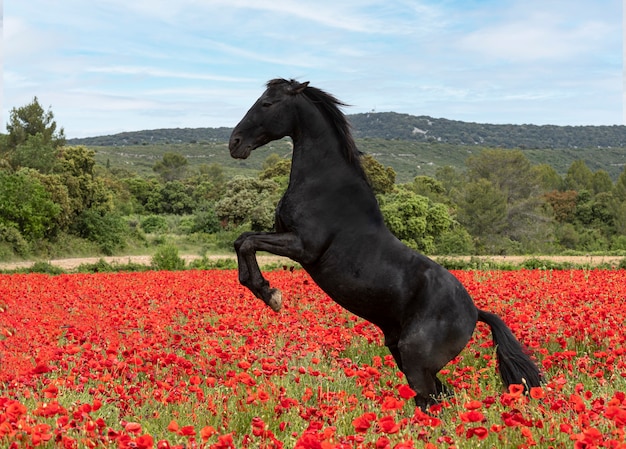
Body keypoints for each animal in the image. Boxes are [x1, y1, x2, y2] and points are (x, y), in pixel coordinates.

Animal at [227, 78, 540, 410]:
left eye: (267, 104)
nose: (234, 142)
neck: (322, 185)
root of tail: (475, 312)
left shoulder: (303, 246)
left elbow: (247, 242)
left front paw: (271, 295)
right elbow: (241, 240)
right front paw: (264, 291)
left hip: (416, 361)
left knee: (430, 401)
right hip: (404, 356)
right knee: (441, 397)